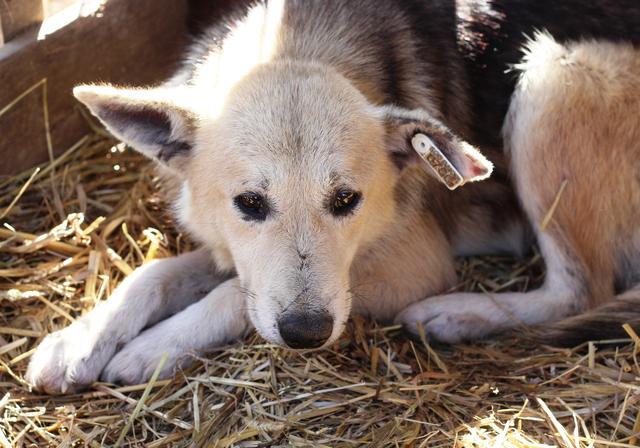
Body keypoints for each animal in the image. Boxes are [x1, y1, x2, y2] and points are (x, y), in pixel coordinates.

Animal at [25, 0, 640, 392]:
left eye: (346, 200)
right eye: (249, 204)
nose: (306, 335)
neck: (296, 47)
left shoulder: (412, 264)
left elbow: (231, 298)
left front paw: (154, 347)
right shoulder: (238, 250)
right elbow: (158, 274)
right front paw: (83, 339)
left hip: (554, 79)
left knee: (578, 291)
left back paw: (458, 313)